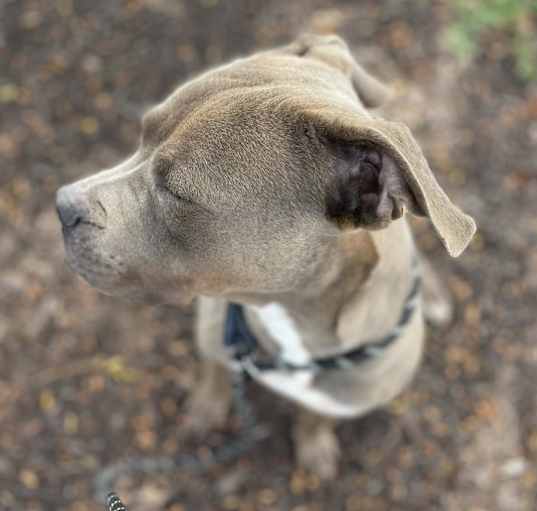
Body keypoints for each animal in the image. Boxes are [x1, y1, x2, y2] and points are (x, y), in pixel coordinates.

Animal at [56, 34, 476, 478]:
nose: (62, 205)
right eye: (141, 135)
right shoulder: (215, 334)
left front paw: (314, 446)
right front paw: (205, 408)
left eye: (176, 193)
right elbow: (214, 371)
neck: (289, 323)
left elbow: (316, 415)